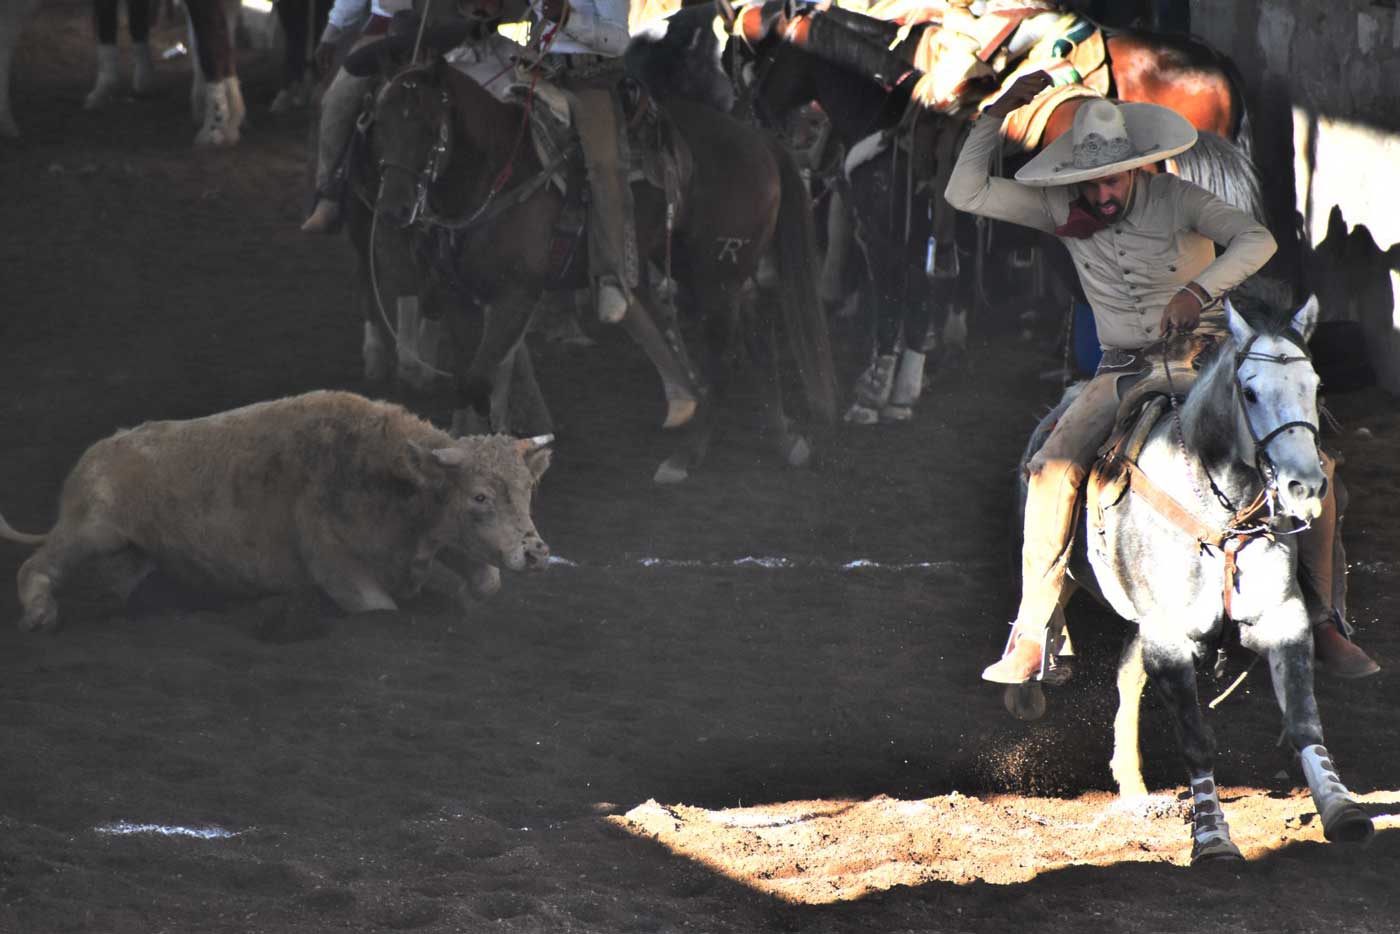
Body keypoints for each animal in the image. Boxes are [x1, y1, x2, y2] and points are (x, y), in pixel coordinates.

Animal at [366, 57, 834, 481]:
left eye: (427, 126)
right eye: (379, 126)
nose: (393, 209)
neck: (495, 175)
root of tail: (759, 140)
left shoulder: (516, 297)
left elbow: (477, 381)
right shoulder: (457, 295)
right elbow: (468, 380)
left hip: (717, 276)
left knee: (724, 358)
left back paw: (685, 457)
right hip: (714, 271)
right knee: (758, 339)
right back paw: (784, 438)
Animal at [1013, 288, 1372, 868]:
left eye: (1315, 387)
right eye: (1249, 391)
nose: (1306, 485)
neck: (1216, 512)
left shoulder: (1284, 621)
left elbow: (1304, 722)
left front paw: (1342, 809)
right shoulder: (1168, 636)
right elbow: (1197, 739)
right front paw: (1211, 837)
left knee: (1127, 672)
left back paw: (1133, 785)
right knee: (1045, 602)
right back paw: (1024, 679)